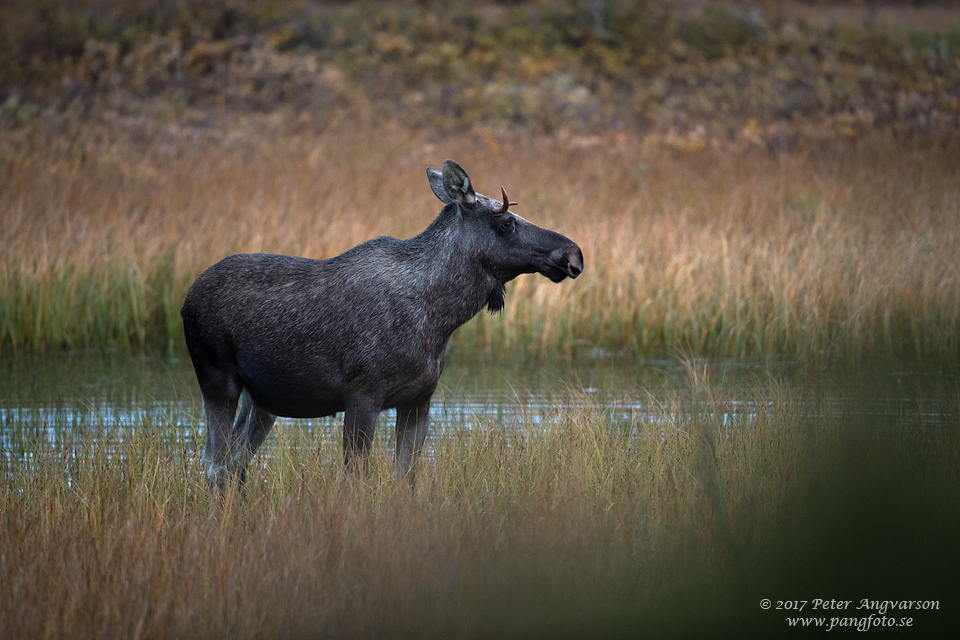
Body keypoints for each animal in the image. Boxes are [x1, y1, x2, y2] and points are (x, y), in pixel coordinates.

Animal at [182, 160, 584, 496]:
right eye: (507, 222)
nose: (573, 254)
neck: (440, 318)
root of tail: (186, 300)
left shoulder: (419, 400)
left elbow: (405, 480)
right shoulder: (362, 396)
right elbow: (355, 481)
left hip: (262, 400)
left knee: (235, 463)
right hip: (218, 378)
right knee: (214, 464)